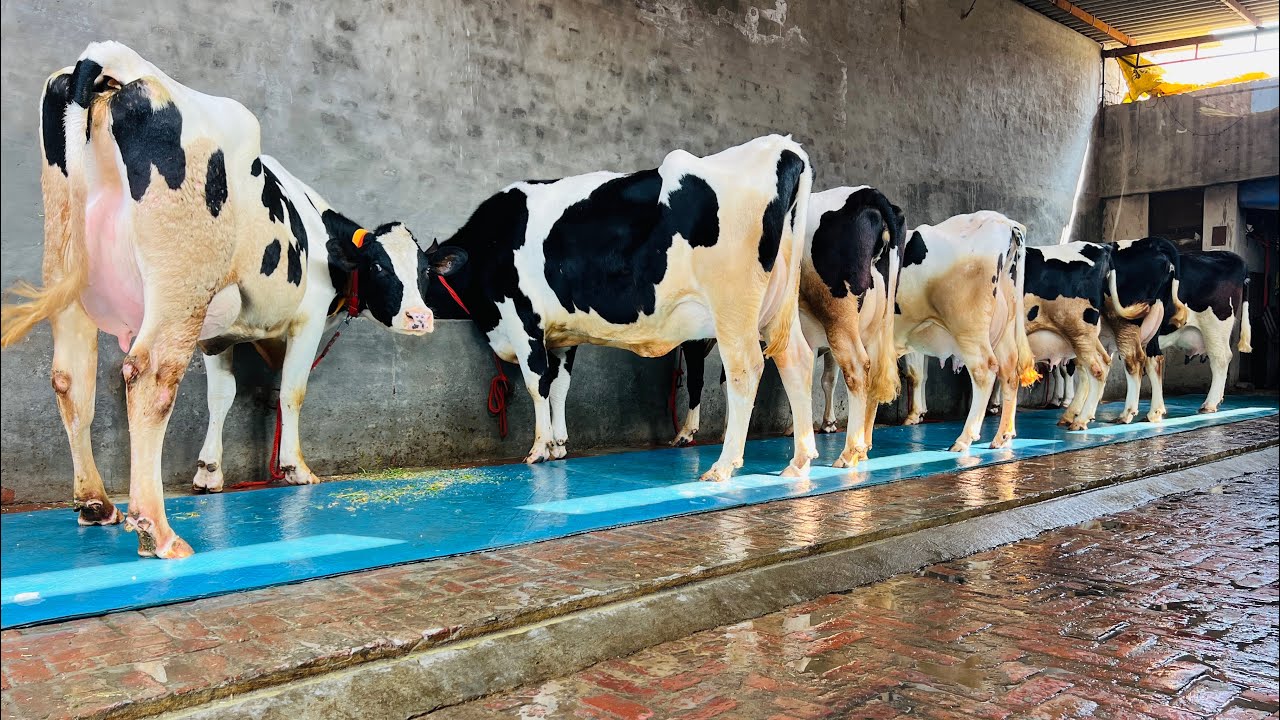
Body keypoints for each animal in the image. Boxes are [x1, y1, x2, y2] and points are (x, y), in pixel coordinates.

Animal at [0, 43, 456, 559]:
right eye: (380, 267)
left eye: (424, 271)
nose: (420, 318)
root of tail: (110, 60)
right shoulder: (306, 317)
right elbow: (292, 391)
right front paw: (295, 468)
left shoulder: (215, 336)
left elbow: (221, 396)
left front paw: (209, 473)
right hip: (181, 284)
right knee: (150, 378)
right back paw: (157, 530)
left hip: (69, 274)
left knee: (70, 380)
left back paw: (96, 503)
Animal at [428, 135, 816, 482]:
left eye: (421, 270)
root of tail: (782, 146)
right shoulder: (562, 336)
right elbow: (559, 385)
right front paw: (558, 444)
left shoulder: (523, 320)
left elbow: (537, 383)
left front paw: (538, 449)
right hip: (776, 308)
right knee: (796, 360)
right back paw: (799, 461)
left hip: (732, 307)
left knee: (745, 369)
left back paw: (723, 465)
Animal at [669, 186, 905, 469]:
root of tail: (867, 194)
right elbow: (729, 379)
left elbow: (698, 379)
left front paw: (686, 432)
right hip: (874, 326)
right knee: (873, 375)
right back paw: (862, 448)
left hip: (839, 316)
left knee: (857, 369)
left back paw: (848, 453)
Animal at [892, 212, 1039, 452]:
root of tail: (1004, 221)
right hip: (1003, 327)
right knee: (1009, 372)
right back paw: (1002, 437)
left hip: (969, 328)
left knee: (984, 371)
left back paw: (964, 439)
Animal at [1102, 236, 1189, 424]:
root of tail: (1153, 242)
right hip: (1155, 320)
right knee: (1154, 358)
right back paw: (1154, 412)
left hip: (1129, 322)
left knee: (1134, 361)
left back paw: (1127, 414)